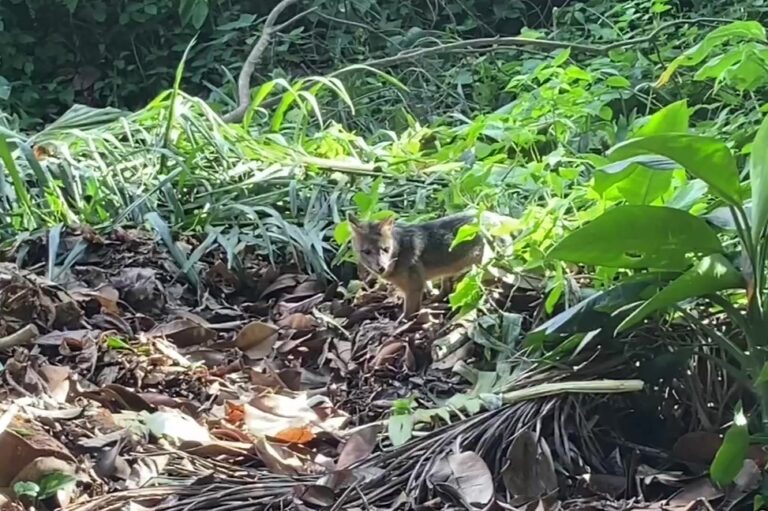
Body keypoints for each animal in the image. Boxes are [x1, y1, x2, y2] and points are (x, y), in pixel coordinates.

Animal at [346, 211, 496, 316]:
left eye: (385, 249)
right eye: (366, 251)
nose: (381, 268)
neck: (399, 250)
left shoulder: (414, 287)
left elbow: (408, 315)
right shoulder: (420, 283)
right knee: (446, 290)